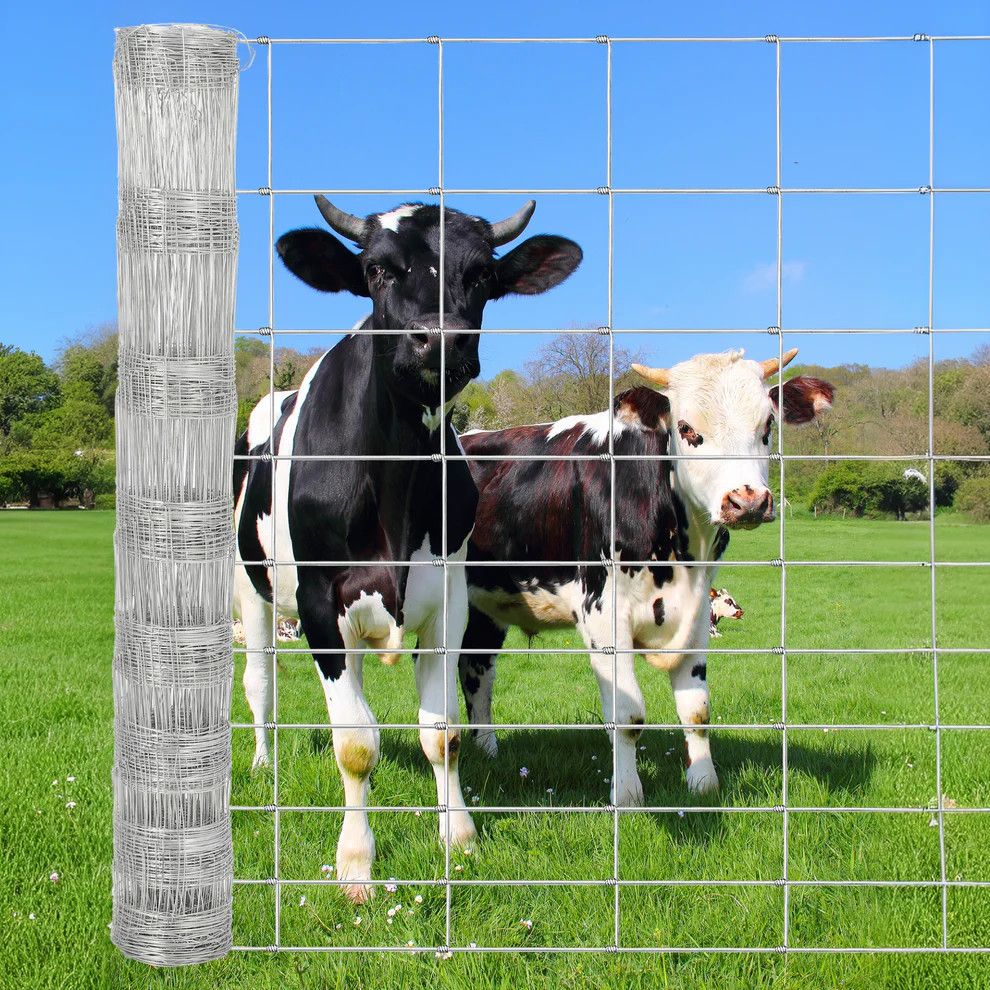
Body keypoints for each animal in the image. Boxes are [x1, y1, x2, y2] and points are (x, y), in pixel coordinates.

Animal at [233, 195, 582, 902]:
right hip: (248, 585)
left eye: (482, 274)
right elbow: (354, 745)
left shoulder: (447, 599)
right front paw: (356, 864)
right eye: (375, 269)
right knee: (260, 683)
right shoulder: (319, 602)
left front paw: (460, 836)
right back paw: (260, 762)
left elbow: (441, 733)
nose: (440, 340)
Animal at [457, 348, 834, 805]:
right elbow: (628, 714)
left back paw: (487, 751)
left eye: (767, 426)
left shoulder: (697, 615)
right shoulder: (602, 613)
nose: (747, 502)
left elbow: (697, 710)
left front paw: (703, 783)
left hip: (483, 607)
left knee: (476, 671)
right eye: (686, 428)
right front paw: (627, 793)